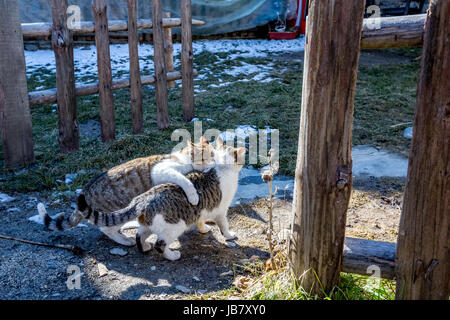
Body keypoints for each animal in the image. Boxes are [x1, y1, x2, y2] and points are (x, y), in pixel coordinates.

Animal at [37, 136, 216, 246]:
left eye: (214, 154)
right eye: (205, 157)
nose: (214, 162)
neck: (184, 159)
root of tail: (86, 190)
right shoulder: (163, 170)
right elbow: (184, 180)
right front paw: (193, 196)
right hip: (119, 210)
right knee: (106, 228)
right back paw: (124, 240)